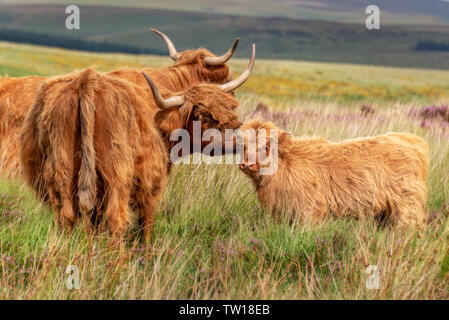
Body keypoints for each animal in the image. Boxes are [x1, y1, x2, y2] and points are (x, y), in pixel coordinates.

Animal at [18, 47, 252, 238]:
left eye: (229, 108)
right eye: (203, 115)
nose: (239, 137)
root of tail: (87, 81)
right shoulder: (151, 182)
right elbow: (145, 224)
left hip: (61, 172)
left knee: (65, 217)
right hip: (116, 176)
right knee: (116, 220)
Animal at [238, 120, 428, 228]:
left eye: (265, 147)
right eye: (243, 146)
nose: (247, 164)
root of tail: (412, 140)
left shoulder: (311, 211)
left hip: (407, 207)